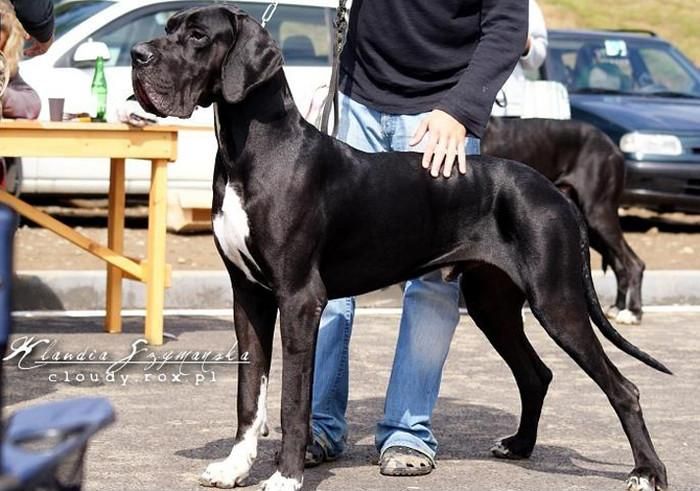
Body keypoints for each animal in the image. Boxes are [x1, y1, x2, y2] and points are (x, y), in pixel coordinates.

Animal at [482, 117, 645, 324]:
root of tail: (611, 144)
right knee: (619, 264)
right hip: (586, 224)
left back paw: (634, 312)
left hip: (599, 213)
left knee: (634, 263)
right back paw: (617, 307)